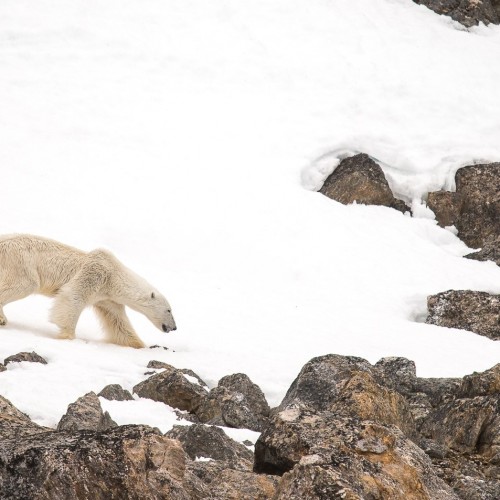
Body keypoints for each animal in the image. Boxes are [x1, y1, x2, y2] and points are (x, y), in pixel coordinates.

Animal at [0, 234, 176, 348]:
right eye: (169, 310)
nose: (174, 327)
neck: (114, 277)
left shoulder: (107, 299)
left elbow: (118, 322)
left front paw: (139, 344)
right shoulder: (95, 273)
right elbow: (73, 295)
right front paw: (68, 336)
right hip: (19, 260)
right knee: (26, 283)